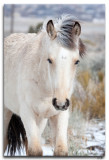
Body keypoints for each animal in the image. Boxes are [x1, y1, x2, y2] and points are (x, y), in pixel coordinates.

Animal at [3, 15, 86, 156]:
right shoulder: (27, 113)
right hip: (6, 111)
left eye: (76, 61)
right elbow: (35, 151)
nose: (60, 103)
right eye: (49, 60)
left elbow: (60, 150)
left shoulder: (60, 115)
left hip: (40, 121)